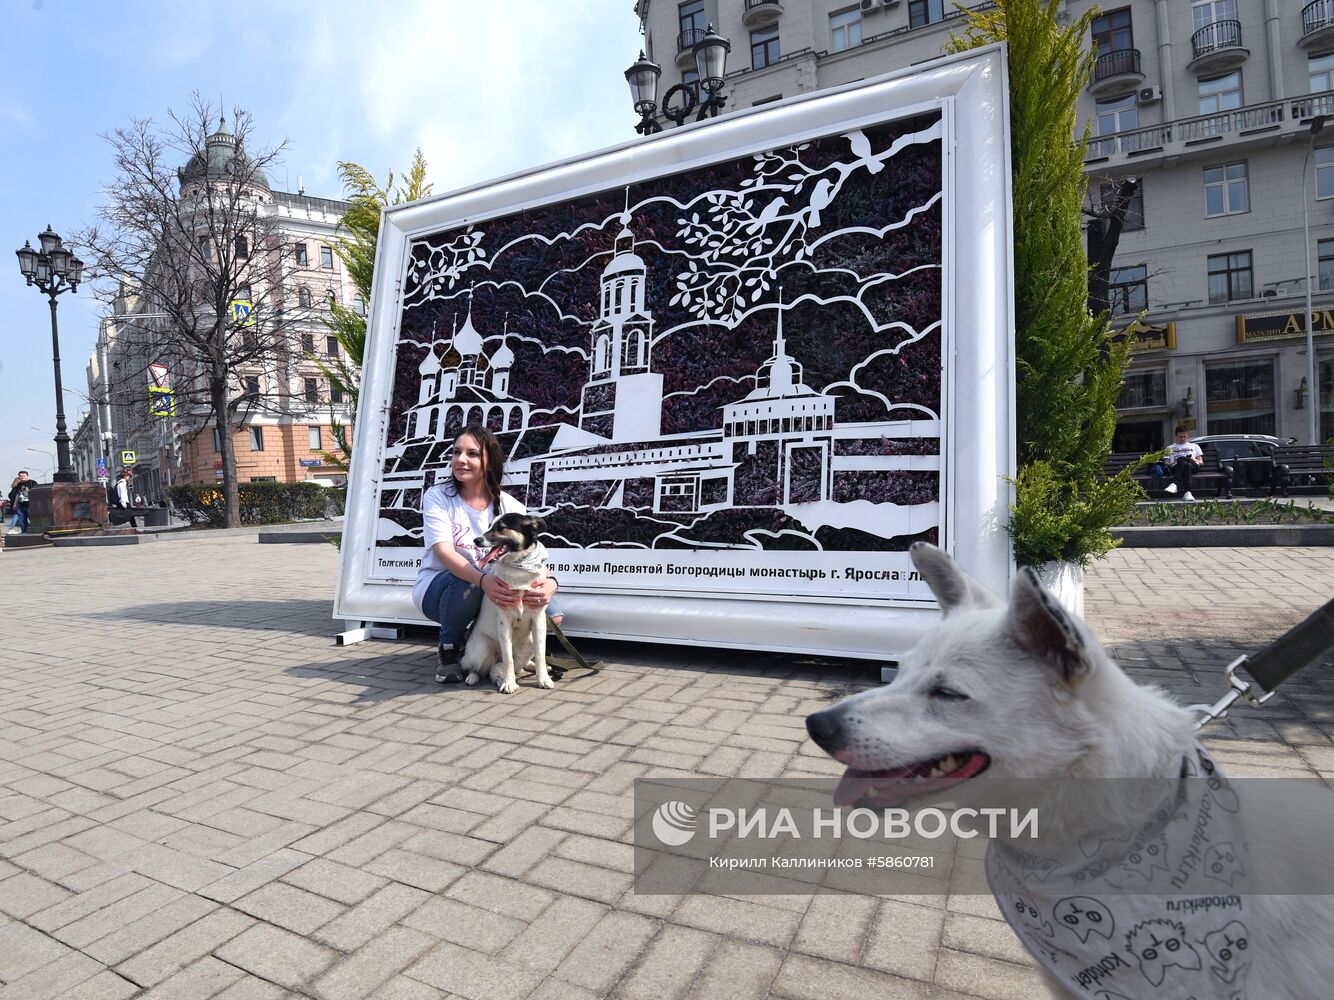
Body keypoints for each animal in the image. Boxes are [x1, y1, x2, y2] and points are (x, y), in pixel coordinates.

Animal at [464, 512, 552, 693]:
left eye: (501, 527)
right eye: (490, 526)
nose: (476, 540)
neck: (519, 569)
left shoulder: (539, 620)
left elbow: (541, 655)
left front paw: (543, 679)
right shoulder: (504, 621)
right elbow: (507, 659)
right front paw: (509, 682)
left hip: (530, 642)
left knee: (521, 664)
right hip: (480, 650)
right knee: (474, 667)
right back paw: (472, 677)